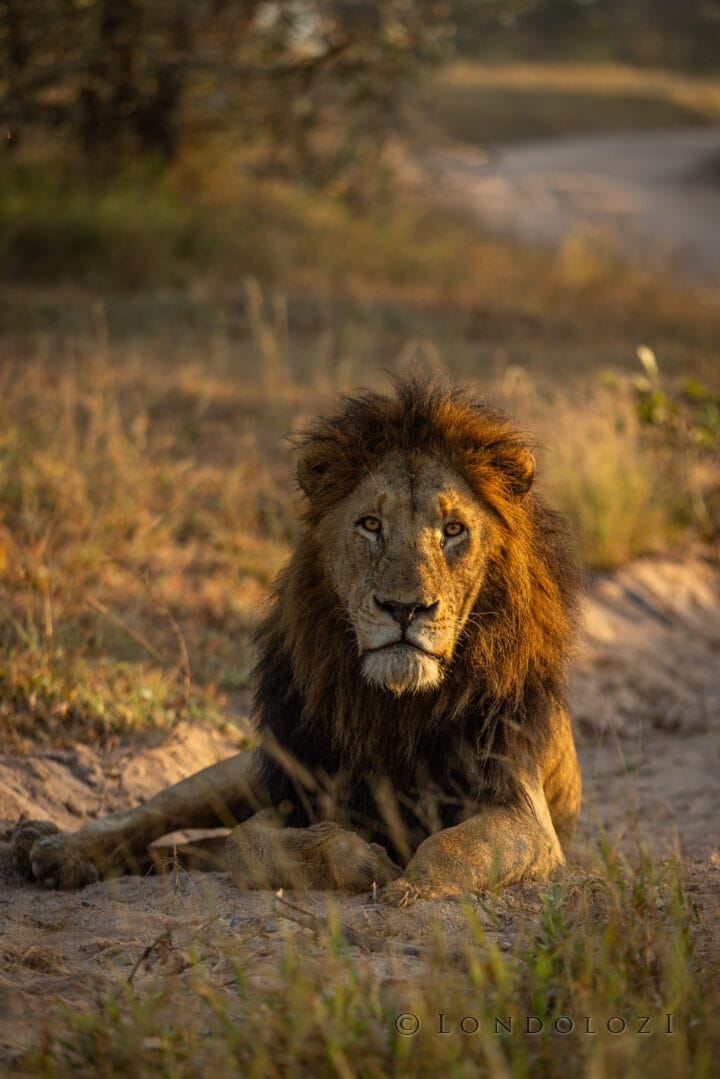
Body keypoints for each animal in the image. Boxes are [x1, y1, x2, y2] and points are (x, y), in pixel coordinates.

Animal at [12, 376, 582, 904]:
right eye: (370, 524)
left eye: (454, 529)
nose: (404, 608)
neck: (396, 707)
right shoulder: (299, 793)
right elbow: (247, 843)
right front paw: (365, 862)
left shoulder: (525, 814)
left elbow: (458, 846)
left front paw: (410, 887)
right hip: (245, 768)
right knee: (152, 814)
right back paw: (50, 847)